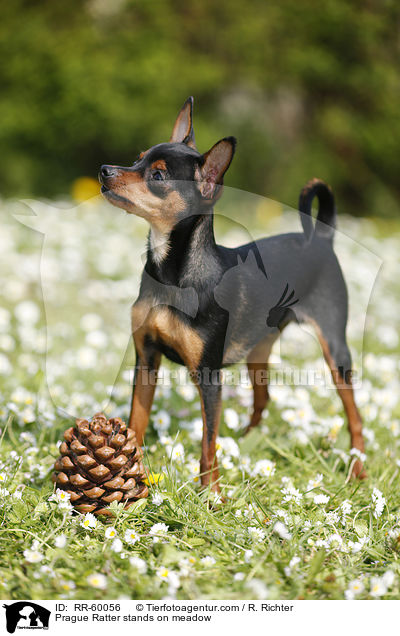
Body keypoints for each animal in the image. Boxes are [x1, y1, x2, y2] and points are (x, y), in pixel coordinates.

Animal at [98, 97, 364, 492]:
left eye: (158, 176)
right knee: (263, 397)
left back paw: (357, 469)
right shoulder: (145, 360)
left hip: (336, 351)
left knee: (355, 415)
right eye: (137, 159)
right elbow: (136, 423)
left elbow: (208, 444)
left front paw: (212, 494)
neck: (172, 277)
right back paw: (246, 440)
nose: (104, 170)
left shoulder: (209, 377)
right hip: (259, 349)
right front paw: (130, 476)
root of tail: (322, 237)